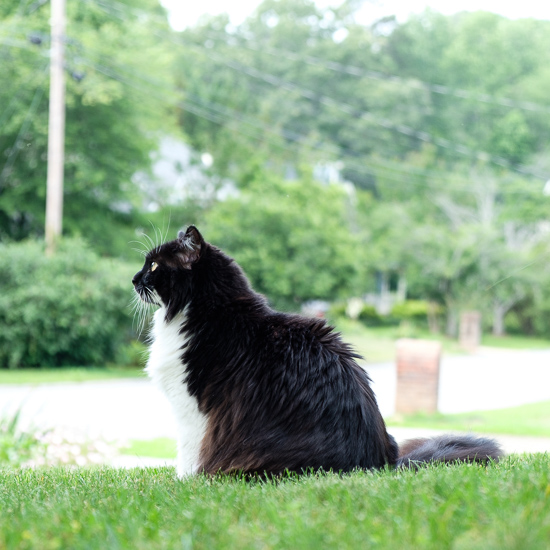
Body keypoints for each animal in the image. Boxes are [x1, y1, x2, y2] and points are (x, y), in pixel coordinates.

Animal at [134, 225, 504, 478]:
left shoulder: (194, 407)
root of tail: (381, 463)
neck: (211, 311)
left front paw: (187, 481)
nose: (134, 279)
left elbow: (189, 451)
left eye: (153, 267)